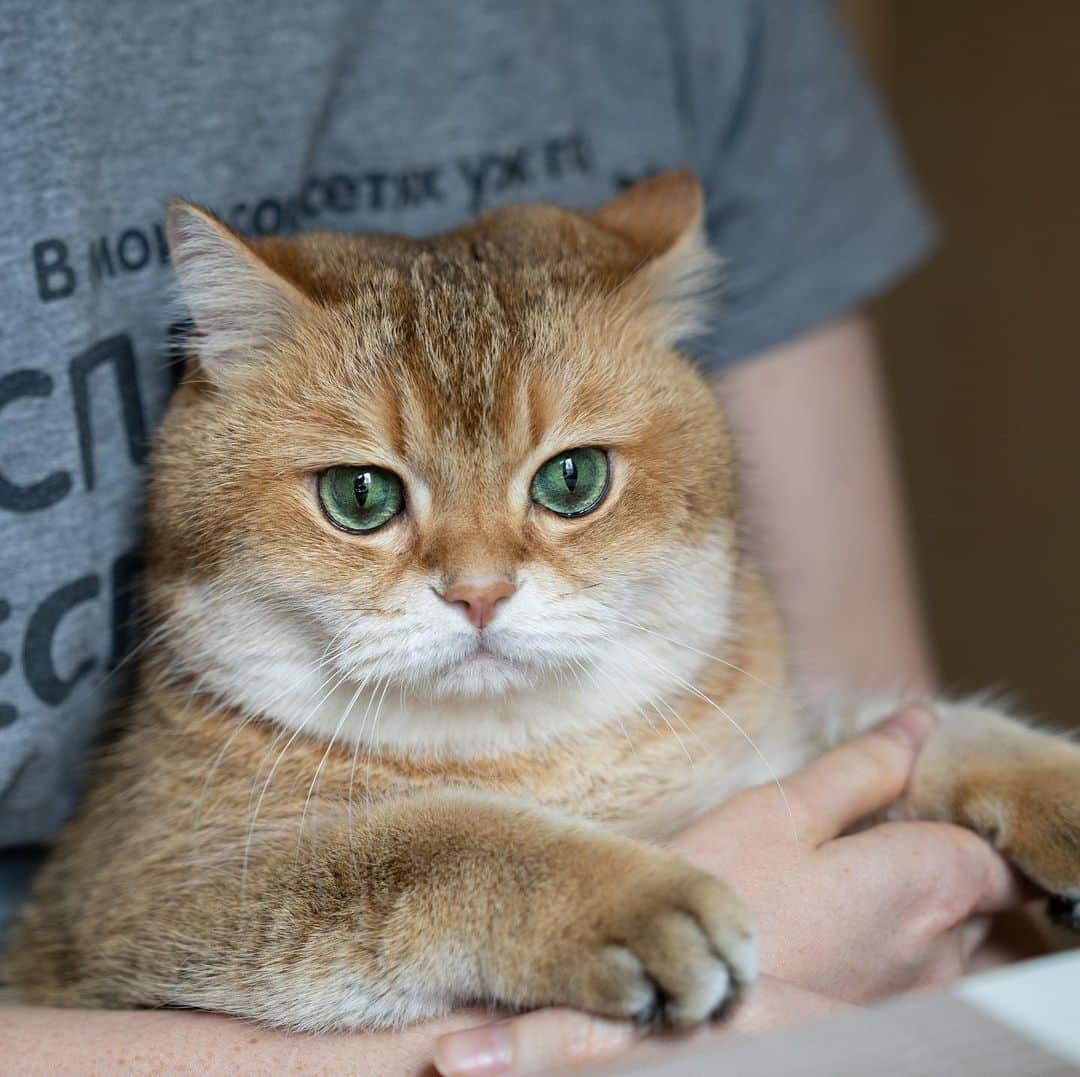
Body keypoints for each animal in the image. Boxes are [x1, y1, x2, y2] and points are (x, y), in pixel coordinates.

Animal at [8, 172, 1080, 1028]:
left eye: (572, 480)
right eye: (360, 495)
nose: (479, 592)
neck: (541, 758)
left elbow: (913, 723)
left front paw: (1048, 781)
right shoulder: (147, 897)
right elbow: (434, 840)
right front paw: (622, 895)